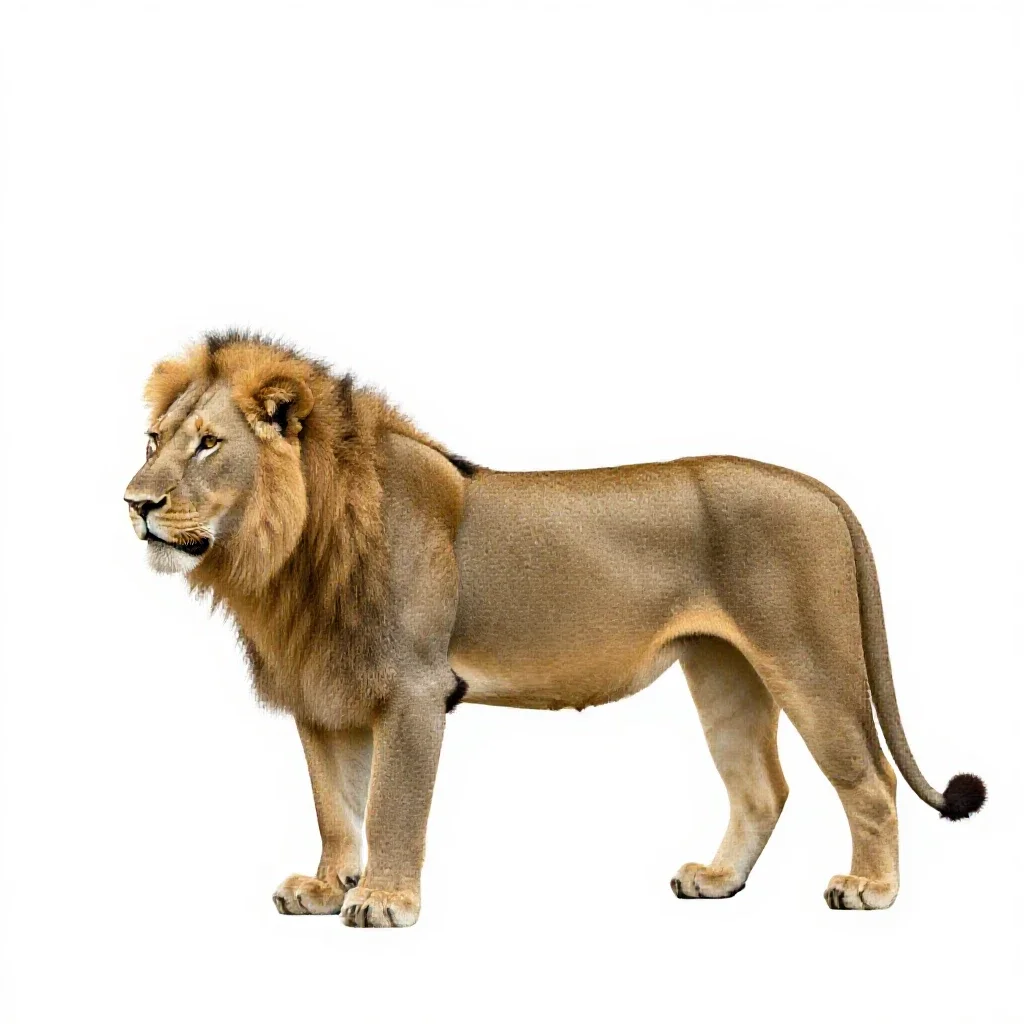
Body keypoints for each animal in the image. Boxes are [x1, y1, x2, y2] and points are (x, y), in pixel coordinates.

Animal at [124, 330, 985, 927]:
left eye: (209, 443)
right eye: (155, 440)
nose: (134, 503)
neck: (287, 556)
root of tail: (821, 489)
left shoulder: (414, 690)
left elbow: (393, 805)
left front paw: (384, 901)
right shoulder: (324, 695)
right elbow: (336, 807)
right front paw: (327, 885)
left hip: (807, 658)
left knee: (870, 780)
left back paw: (871, 888)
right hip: (723, 671)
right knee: (762, 788)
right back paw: (717, 881)